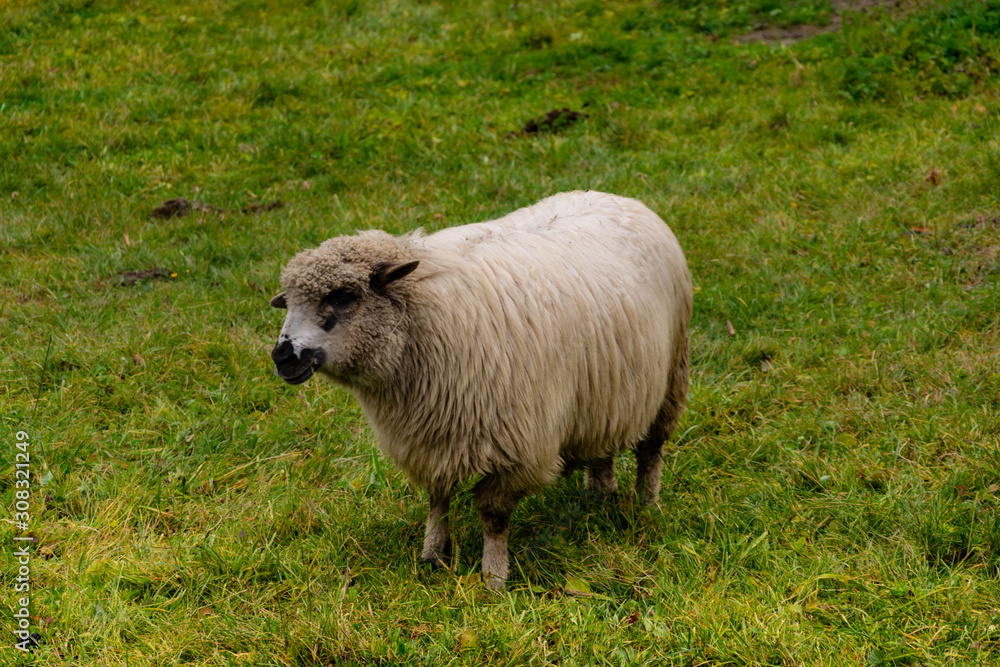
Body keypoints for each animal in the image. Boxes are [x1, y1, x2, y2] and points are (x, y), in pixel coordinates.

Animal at [269, 190, 692, 588]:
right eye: (288, 303)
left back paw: (647, 505)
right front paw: (433, 555)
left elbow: (493, 516)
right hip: (603, 392)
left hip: (671, 379)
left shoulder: (518, 448)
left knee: (651, 451)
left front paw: (494, 577)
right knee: (602, 449)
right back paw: (599, 496)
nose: (281, 356)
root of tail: (616, 197)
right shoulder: (427, 437)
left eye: (343, 296)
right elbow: (437, 497)